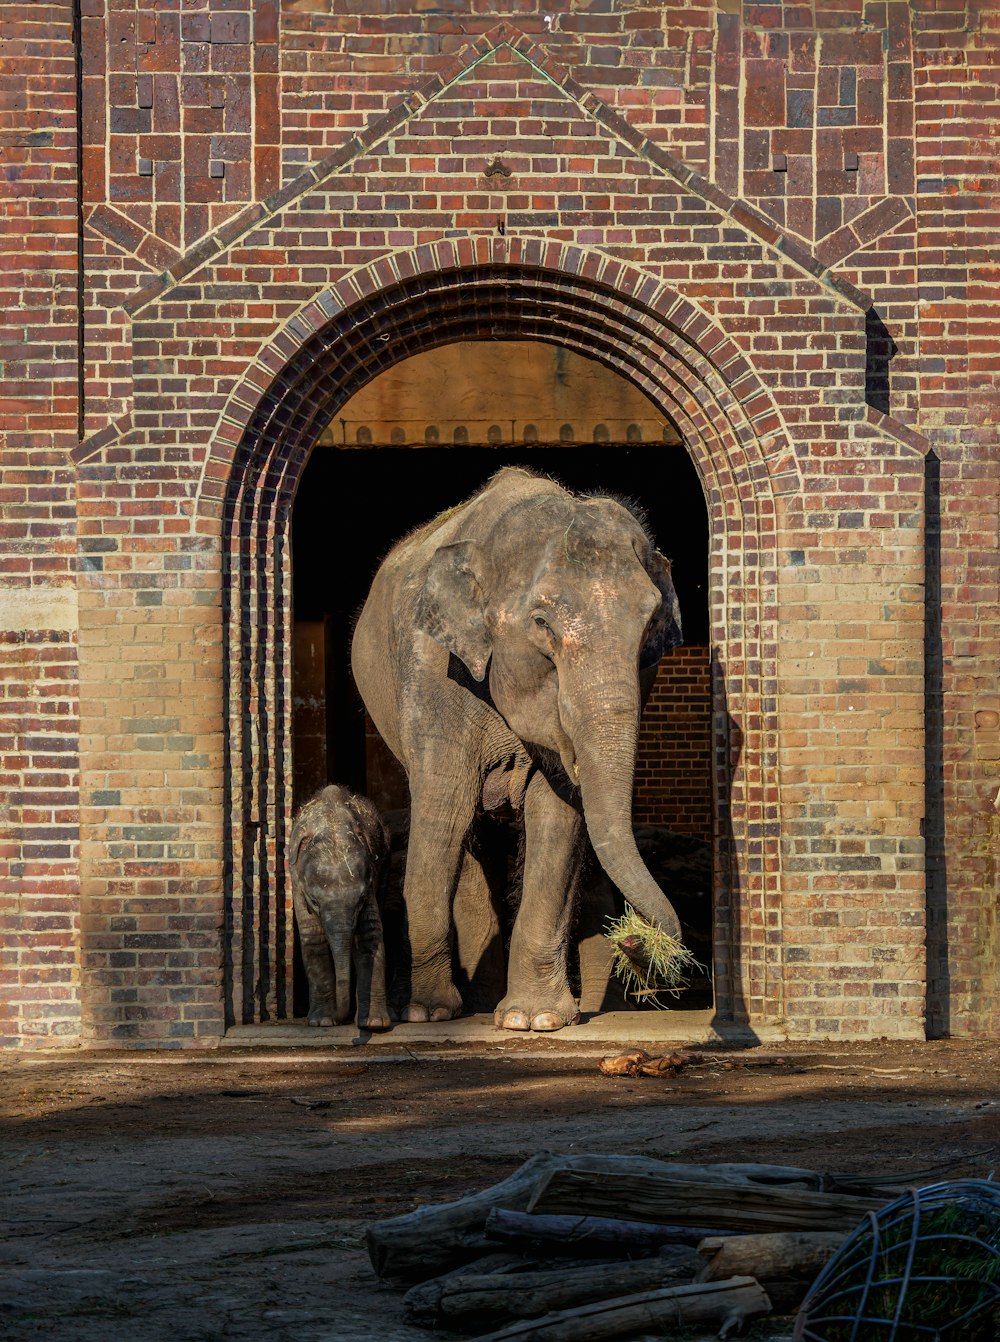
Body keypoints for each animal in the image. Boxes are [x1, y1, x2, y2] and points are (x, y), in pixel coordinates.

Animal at [288, 783, 389, 1025]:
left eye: (360, 899)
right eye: (314, 901)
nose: (340, 1017)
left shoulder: (372, 875)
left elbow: (370, 933)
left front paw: (374, 1024)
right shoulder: (297, 881)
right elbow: (313, 937)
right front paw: (322, 1022)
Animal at [346, 467, 681, 1030]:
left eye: (651, 624)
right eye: (542, 623)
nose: (637, 938)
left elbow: (559, 819)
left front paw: (536, 1018)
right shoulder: (432, 670)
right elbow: (444, 812)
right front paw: (426, 1012)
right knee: (466, 833)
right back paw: (468, 1008)